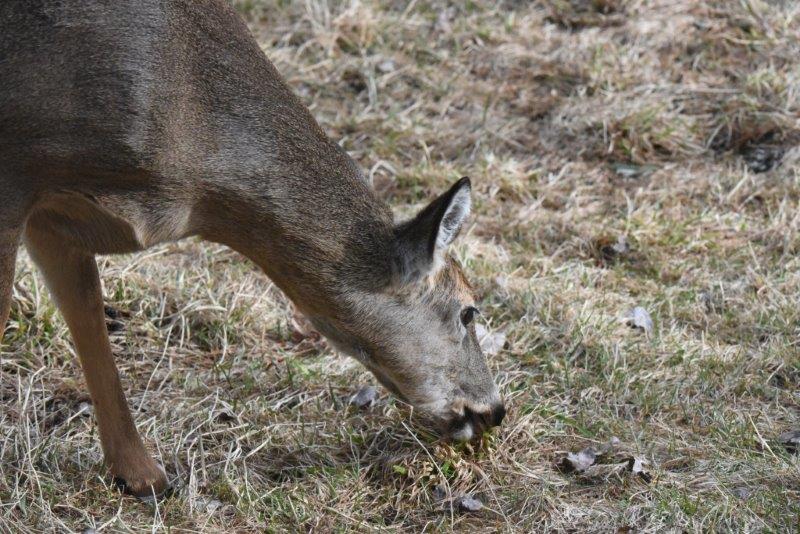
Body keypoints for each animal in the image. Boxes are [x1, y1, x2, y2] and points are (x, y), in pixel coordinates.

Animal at [0, 0, 505, 498]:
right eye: (468, 311)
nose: (495, 410)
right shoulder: (17, 173)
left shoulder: (52, 217)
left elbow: (88, 319)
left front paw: (140, 474)